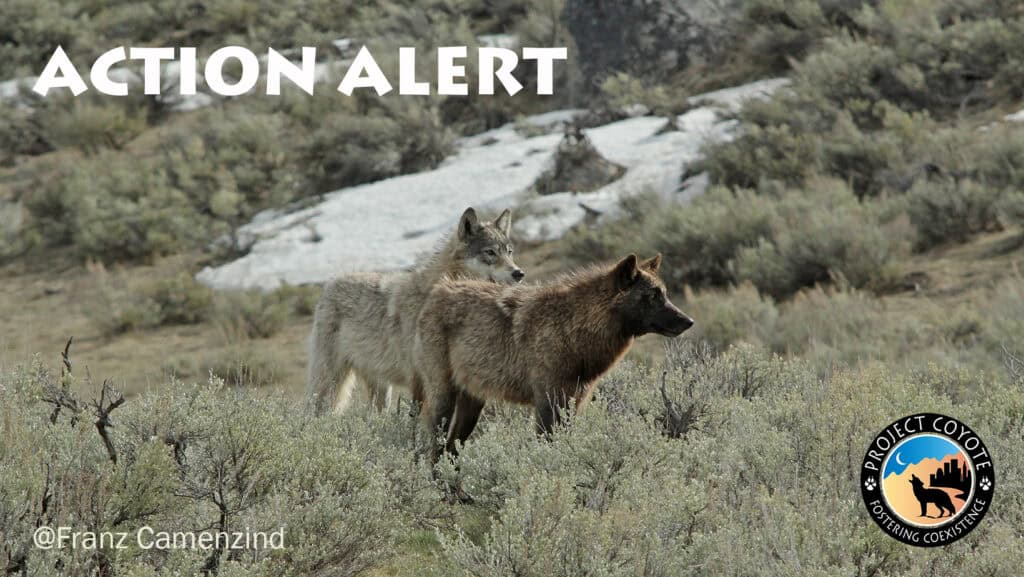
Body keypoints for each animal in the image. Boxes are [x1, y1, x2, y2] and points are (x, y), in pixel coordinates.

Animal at [305, 208, 524, 416]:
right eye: (490, 252)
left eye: (509, 252)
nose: (519, 273)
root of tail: (331, 282)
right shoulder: (423, 379)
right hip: (329, 382)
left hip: (381, 388)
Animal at [415, 255, 696, 459]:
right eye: (652, 296)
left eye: (664, 294)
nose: (689, 321)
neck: (572, 329)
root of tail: (438, 290)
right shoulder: (547, 403)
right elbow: (548, 449)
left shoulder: (575, 402)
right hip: (444, 399)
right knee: (436, 451)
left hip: (472, 405)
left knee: (450, 450)